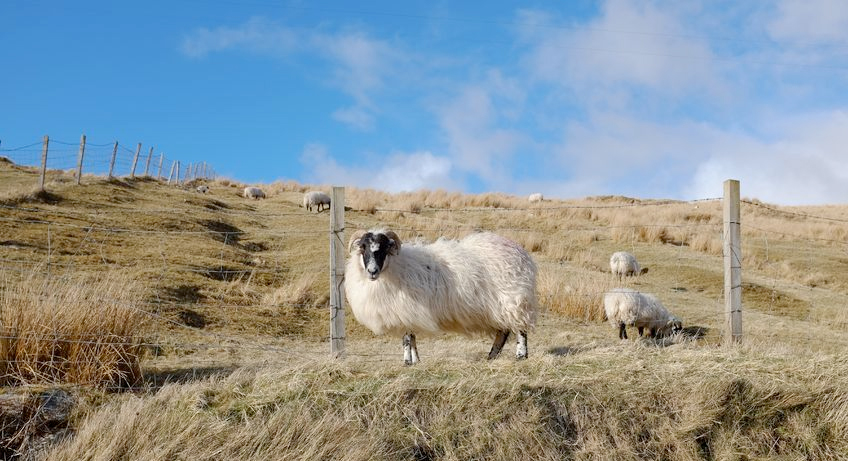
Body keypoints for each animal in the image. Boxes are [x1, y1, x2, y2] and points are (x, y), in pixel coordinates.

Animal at [342, 228, 536, 364]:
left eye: (382, 249)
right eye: (363, 247)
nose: (372, 271)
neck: (394, 266)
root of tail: (520, 252)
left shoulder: (405, 310)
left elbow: (406, 338)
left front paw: (407, 362)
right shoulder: (409, 313)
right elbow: (412, 338)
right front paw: (416, 361)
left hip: (514, 299)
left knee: (520, 330)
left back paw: (520, 356)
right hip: (498, 307)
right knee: (503, 332)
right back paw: (492, 356)